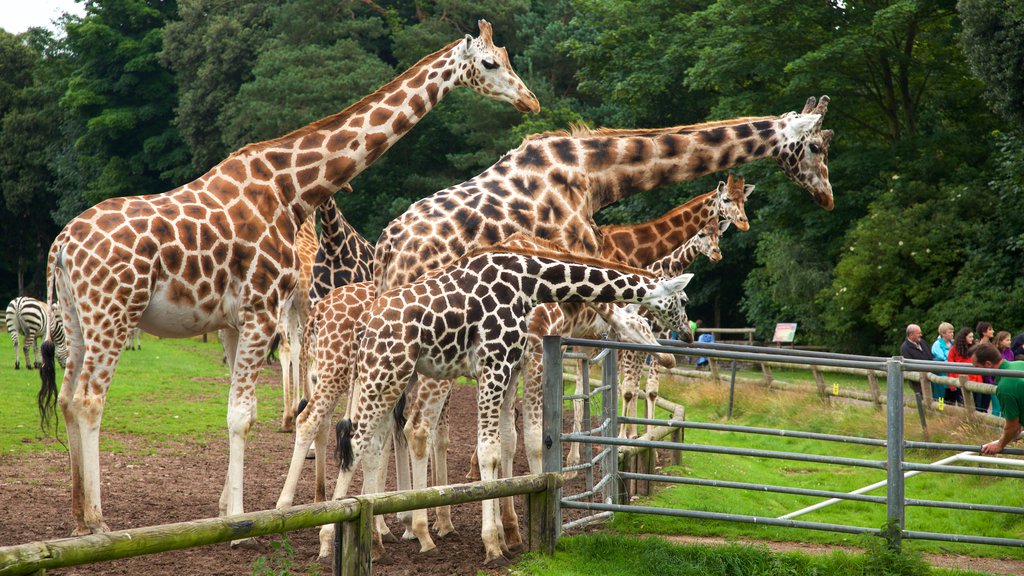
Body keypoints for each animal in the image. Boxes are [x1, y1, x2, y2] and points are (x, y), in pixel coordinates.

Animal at [32, 19, 536, 537]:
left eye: (507, 57)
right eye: (490, 63)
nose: (530, 101)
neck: (292, 187)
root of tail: (61, 246)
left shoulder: (233, 322)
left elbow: (238, 410)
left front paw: (223, 509)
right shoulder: (262, 310)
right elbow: (243, 416)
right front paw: (239, 522)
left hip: (75, 318)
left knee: (67, 398)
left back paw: (79, 518)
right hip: (113, 313)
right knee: (89, 401)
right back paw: (98, 521)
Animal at [327, 243, 696, 561]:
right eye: (681, 299)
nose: (686, 338)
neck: (529, 283)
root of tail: (363, 326)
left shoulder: (507, 368)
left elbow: (506, 441)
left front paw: (506, 535)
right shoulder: (496, 364)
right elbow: (490, 450)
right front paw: (492, 544)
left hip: (388, 378)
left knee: (372, 443)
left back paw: (378, 540)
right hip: (386, 373)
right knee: (358, 442)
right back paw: (332, 538)